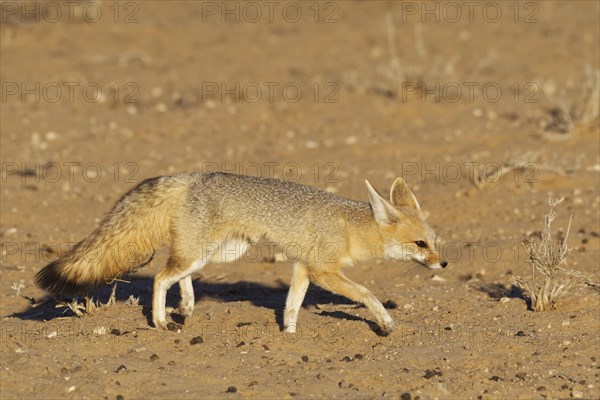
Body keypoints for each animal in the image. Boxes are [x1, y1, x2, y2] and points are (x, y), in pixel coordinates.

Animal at [32, 172, 446, 334]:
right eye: (420, 245)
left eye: (435, 241)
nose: (444, 262)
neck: (352, 227)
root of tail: (192, 177)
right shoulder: (323, 271)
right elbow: (366, 293)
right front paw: (385, 322)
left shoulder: (303, 268)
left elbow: (292, 304)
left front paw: (289, 334)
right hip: (206, 252)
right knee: (163, 276)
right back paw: (162, 320)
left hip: (220, 253)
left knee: (178, 274)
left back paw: (186, 306)